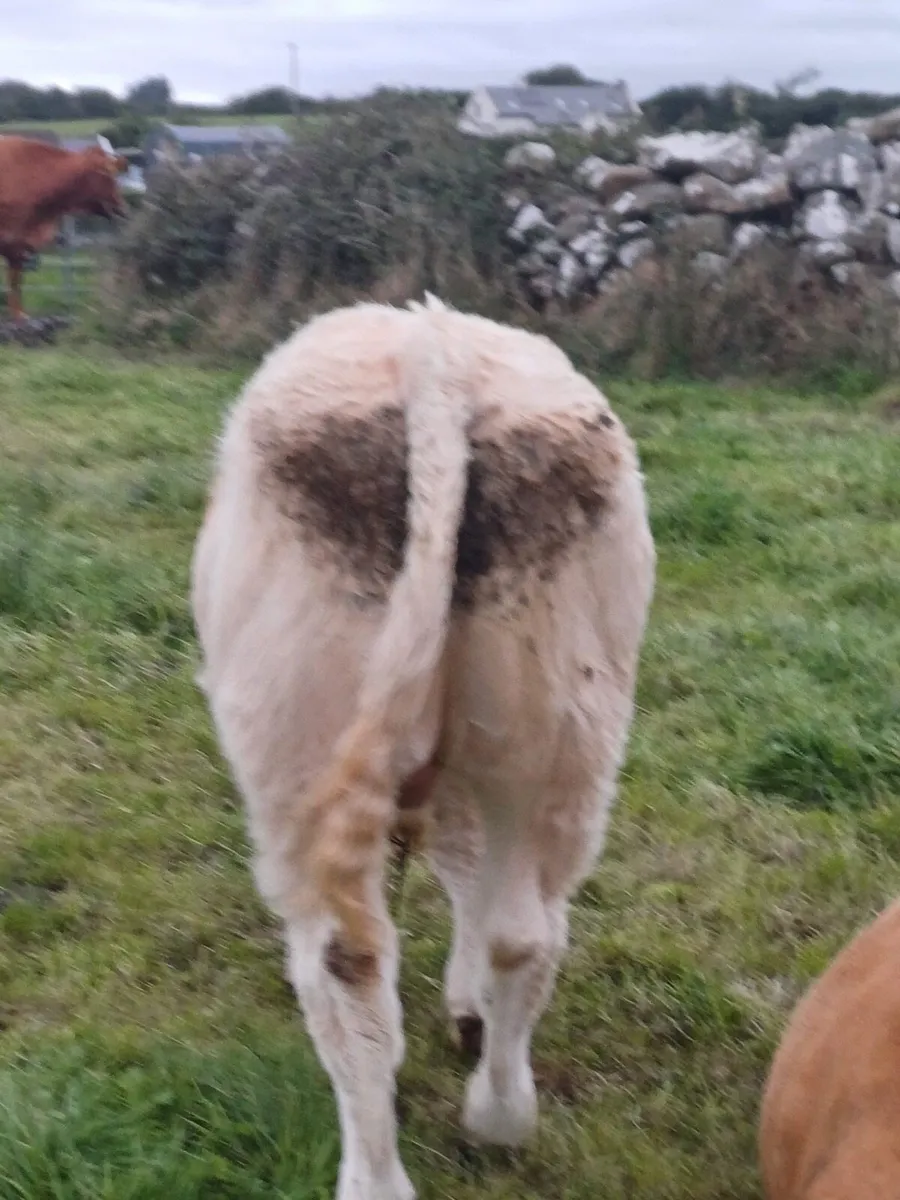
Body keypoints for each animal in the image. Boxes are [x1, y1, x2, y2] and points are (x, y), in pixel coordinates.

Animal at [0, 133, 128, 322]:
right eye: (107, 175)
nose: (123, 209)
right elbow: (15, 281)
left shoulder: (18, 244)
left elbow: (16, 281)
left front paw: (20, 314)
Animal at [190, 295, 656, 1200]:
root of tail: (437, 357)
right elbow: (474, 883)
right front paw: (468, 1012)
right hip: (559, 741)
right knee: (522, 930)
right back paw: (502, 1115)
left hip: (296, 754)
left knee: (347, 964)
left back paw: (377, 1175)